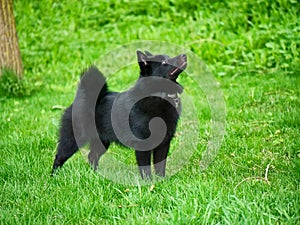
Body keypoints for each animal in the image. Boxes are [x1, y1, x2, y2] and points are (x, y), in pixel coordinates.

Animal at [51, 50, 188, 178]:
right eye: (164, 62)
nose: (184, 54)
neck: (159, 95)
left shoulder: (163, 144)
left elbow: (160, 166)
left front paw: (161, 181)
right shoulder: (142, 145)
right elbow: (145, 169)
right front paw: (148, 183)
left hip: (102, 142)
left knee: (92, 156)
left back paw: (96, 175)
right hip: (73, 139)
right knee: (59, 157)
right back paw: (53, 177)